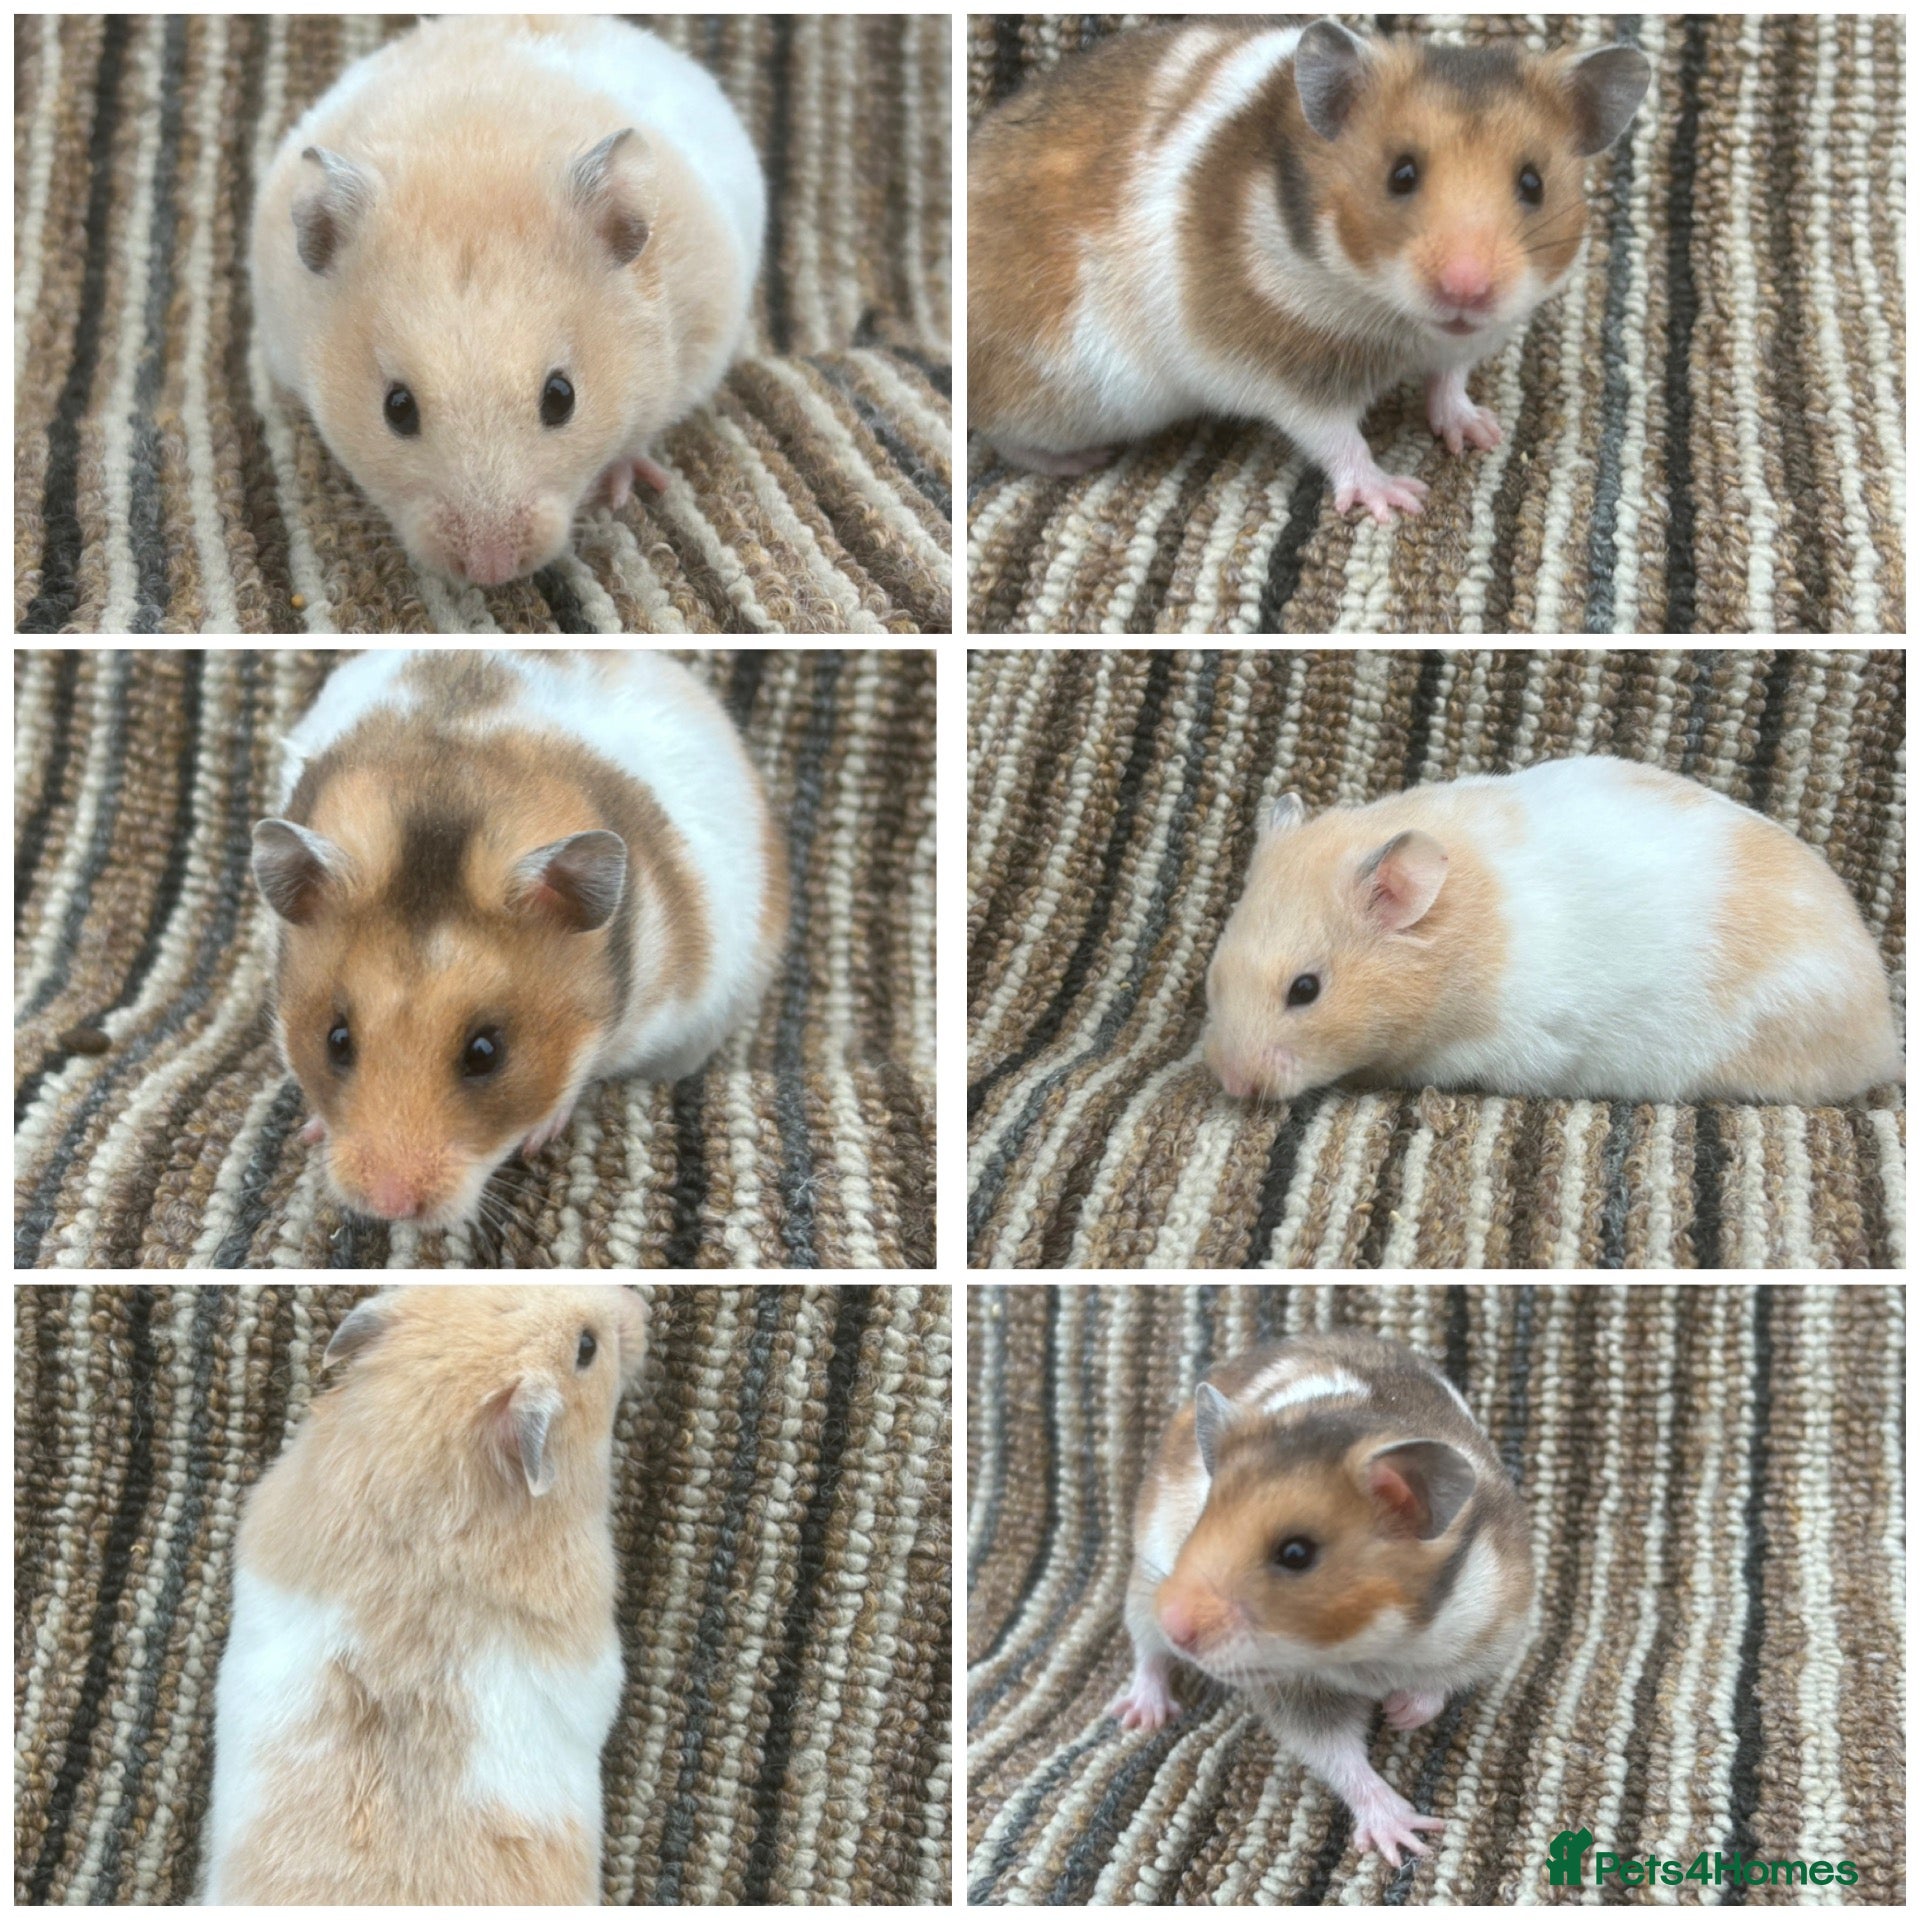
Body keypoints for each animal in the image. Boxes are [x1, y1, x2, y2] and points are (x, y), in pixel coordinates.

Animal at [969, 19, 1651, 519]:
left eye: (1533, 184)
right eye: (1400, 174)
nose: (1467, 290)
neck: (1395, 318)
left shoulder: (1467, 339)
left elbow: (1449, 380)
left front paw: (1480, 432)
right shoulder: (1279, 367)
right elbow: (1335, 436)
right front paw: (1396, 499)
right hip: (1055, 392)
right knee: (998, 432)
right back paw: (1078, 463)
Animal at [1111, 1331, 1533, 1867]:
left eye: (1296, 1554)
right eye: (1201, 1521)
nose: (1176, 1627)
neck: (1370, 1647)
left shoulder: (1492, 1621)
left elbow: (1438, 1685)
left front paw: (1400, 1713)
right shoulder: (1297, 1692)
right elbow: (1338, 1755)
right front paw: (1405, 1839)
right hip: (1144, 1585)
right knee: (1148, 1654)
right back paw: (1143, 1715)